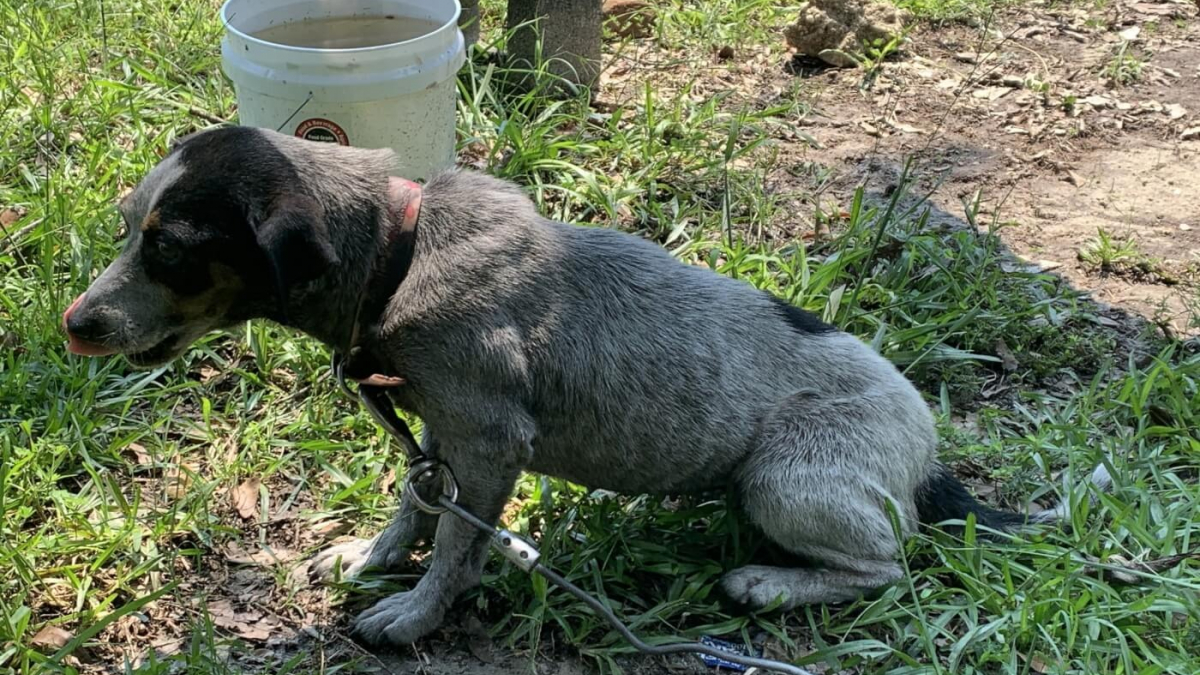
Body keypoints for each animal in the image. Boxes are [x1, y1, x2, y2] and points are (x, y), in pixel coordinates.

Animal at [58, 127, 1104, 648]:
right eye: (126, 227)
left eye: (170, 248)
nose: (74, 324)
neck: (401, 253)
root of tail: (929, 463)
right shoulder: (441, 433)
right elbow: (414, 504)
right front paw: (372, 557)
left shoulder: (488, 442)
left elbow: (456, 551)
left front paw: (416, 615)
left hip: (785, 479)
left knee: (891, 564)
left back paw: (769, 581)